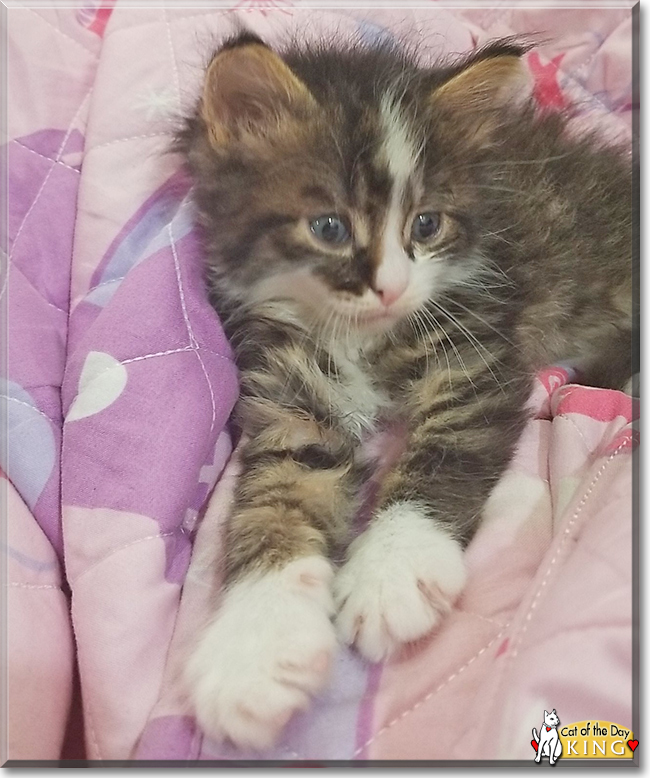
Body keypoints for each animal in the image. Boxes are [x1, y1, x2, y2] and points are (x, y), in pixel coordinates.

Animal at [175, 33, 632, 748]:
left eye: (427, 225)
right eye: (329, 228)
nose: (391, 287)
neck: (361, 335)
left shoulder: (476, 350)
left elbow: (444, 454)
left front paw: (391, 573)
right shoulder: (289, 396)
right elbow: (275, 496)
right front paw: (256, 648)